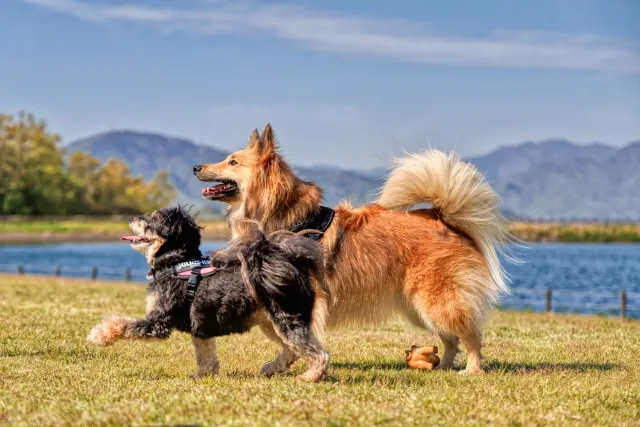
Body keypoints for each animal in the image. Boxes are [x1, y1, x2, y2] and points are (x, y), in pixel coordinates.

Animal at [87, 206, 330, 382]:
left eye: (152, 220)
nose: (130, 218)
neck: (175, 264)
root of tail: (292, 264)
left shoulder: (159, 321)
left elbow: (122, 324)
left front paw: (99, 335)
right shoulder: (200, 325)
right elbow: (206, 354)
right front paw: (204, 375)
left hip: (286, 317)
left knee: (318, 353)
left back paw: (310, 377)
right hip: (271, 322)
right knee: (296, 349)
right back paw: (272, 368)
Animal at [192, 123, 512, 374]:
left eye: (233, 162)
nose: (196, 167)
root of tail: (442, 218)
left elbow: (291, 337)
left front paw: (289, 363)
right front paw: (281, 364)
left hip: (436, 300)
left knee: (470, 336)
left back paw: (471, 370)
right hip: (418, 307)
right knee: (451, 338)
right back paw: (444, 367)